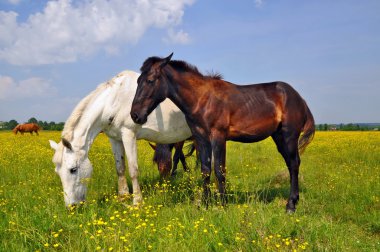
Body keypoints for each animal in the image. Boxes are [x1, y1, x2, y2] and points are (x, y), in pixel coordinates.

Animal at [49, 70, 191, 207]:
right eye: (57, 172)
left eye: (73, 169)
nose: (71, 207)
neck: (114, 102)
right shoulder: (115, 139)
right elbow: (120, 168)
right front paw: (123, 198)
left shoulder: (129, 135)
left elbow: (133, 170)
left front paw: (137, 202)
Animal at [131, 53, 314, 213]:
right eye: (138, 81)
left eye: (150, 80)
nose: (135, 115)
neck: (202, 99)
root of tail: (299, 98)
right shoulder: (201, 137)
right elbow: (205, 169)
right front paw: (205, 204)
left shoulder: (218, 136)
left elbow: (219, 170)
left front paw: (223, 205)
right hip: (278, 137)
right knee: (291, 164)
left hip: (289, 136)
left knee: (294, 163)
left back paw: (291, 206)